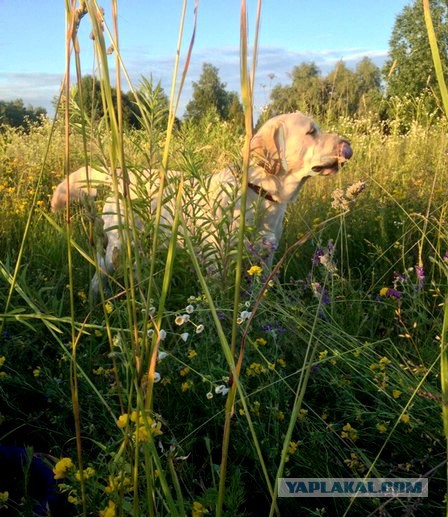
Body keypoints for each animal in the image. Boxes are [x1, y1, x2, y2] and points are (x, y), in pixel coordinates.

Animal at [51, 112, 354, 290]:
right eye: (311, 132)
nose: (347, 144)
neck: (257, 191)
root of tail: (118, 174)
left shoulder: (265, 258)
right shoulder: (216, 263)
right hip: (119, 245)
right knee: (97, 275)